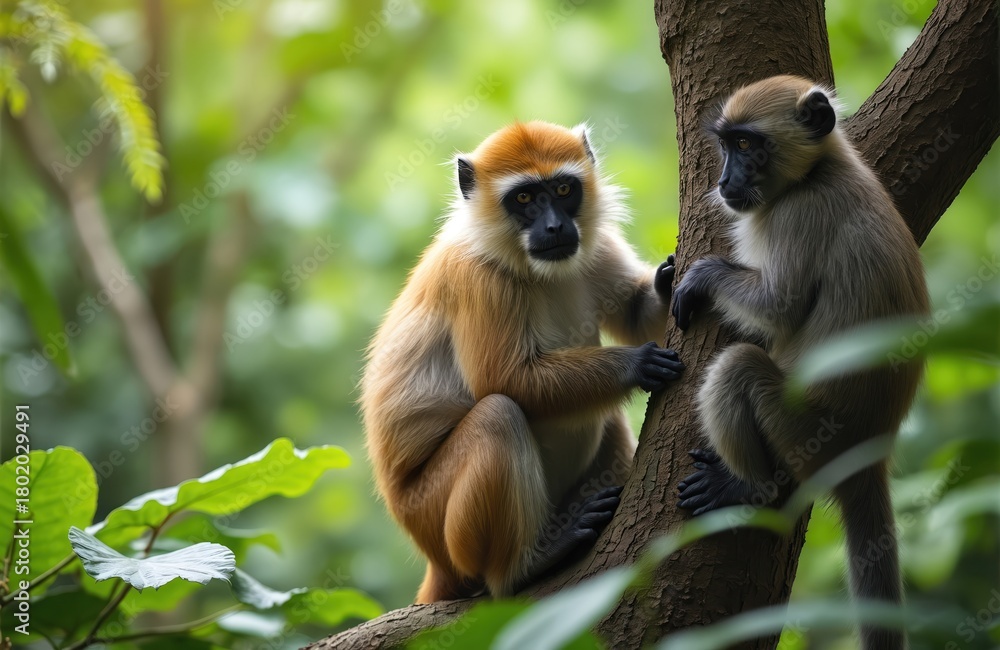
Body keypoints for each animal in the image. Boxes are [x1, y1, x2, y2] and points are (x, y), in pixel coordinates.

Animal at [361, 121, 685, 603]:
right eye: (525, 199)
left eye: (564, 189)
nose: (554, 226)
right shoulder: (477, 278)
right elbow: (506, 381)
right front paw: (638, 363)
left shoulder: (592, 243)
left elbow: (634, 313)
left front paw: (671, 281)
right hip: (437, 518)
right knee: (498, 413)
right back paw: (524, 567)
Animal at [671, 75, 928, 650]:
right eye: (728, 146)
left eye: (747, 146)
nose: (725, 179)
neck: (823, 170)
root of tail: (870, 447)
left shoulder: (799, 213)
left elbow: (779, 308)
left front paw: (699, 278)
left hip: (803, 426)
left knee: (740, 365)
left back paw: (747, 487)